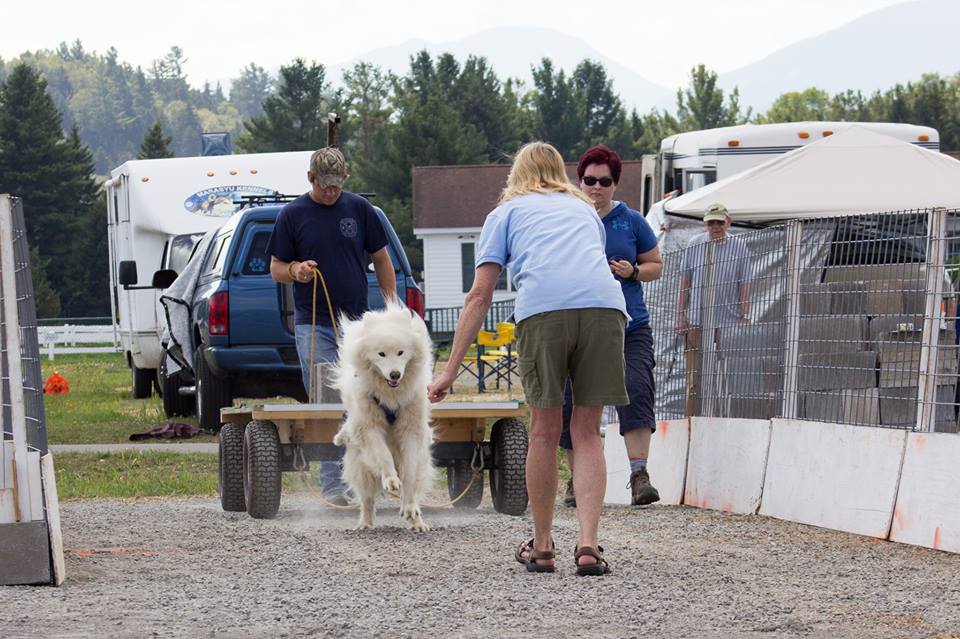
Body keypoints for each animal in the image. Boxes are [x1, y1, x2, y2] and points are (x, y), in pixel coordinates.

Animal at [332, 302, 434, 532]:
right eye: (381, 354)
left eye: (401, 352)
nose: (395, 374)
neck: (391, 396)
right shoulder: (369, 427)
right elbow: (383, 454)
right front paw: (390, 480)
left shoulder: (411, 429)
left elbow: (409, 473)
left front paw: (409, 505)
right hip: (361, 468)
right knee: (367, 499)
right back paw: (365, 523)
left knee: (413, 488)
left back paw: (417, 520)